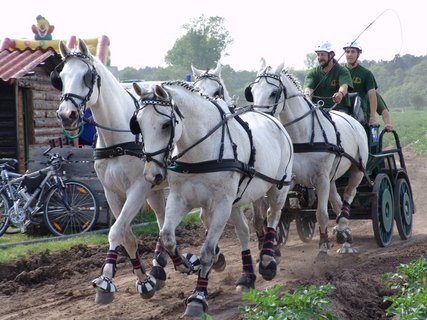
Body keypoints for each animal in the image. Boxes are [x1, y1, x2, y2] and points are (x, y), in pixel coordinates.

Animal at [52, 38, 168, 304]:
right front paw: (144, 281)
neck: (119, 138)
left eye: (86, 76)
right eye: (61, 76)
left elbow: (116, 231)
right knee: (163, 220)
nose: (66, 115)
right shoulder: (111, 192)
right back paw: (165, 264)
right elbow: (126, 237)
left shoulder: (138, 189)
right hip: (157, 190)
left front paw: (105, 281)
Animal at [132, 80, 296, 318]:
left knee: (272, 216)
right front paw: (185, 264)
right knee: (243, 232)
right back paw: (247, 277)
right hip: (236, 201)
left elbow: (208, 251)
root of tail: (271, 118)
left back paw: (267, 260)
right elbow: (167, 237)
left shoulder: (221, 205)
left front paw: (198, 298)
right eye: (138, 124)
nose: (152, 175)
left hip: (277, 188)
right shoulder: (180, 199)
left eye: (165, 125)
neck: (201, 152)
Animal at [246, 58, 370, 255]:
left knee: (349, 195)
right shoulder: (290, 179)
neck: (302, 134)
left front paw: (323, 247)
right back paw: (345, 238)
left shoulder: (321, 179)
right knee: (337, 201)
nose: (258, 119)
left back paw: (343, 230)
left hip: (356, 170)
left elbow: (322, 213)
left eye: (274, 93)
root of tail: (354, 121)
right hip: (332, 177)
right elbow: (271, 212)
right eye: (252, 92)